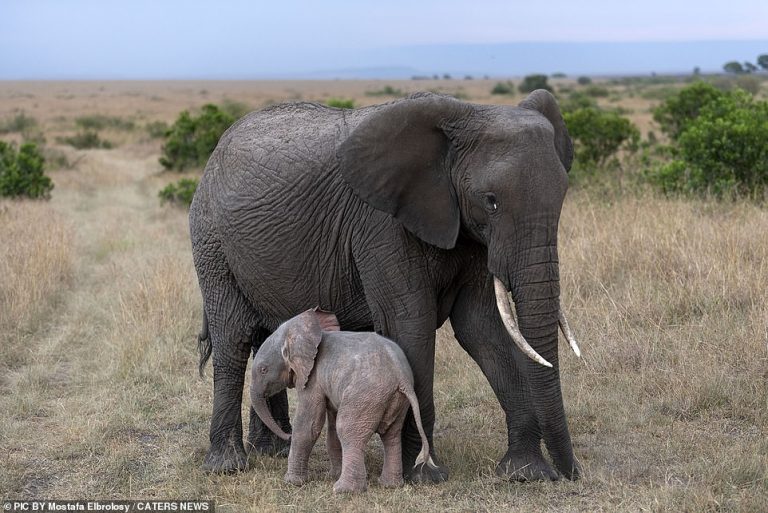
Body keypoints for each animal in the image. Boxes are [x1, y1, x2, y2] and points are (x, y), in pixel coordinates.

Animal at [250, 308, 436, 493]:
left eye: (263, 370)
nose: (286, 435)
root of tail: (401, 376)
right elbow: (331, 428)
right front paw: (331, 475)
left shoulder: (313, 380)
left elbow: (308, 425)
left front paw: (292, 482)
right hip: (395, 400)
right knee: (392, 435)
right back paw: (390, 485)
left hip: (365, 396)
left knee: (347, 430)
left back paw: (343, 490)